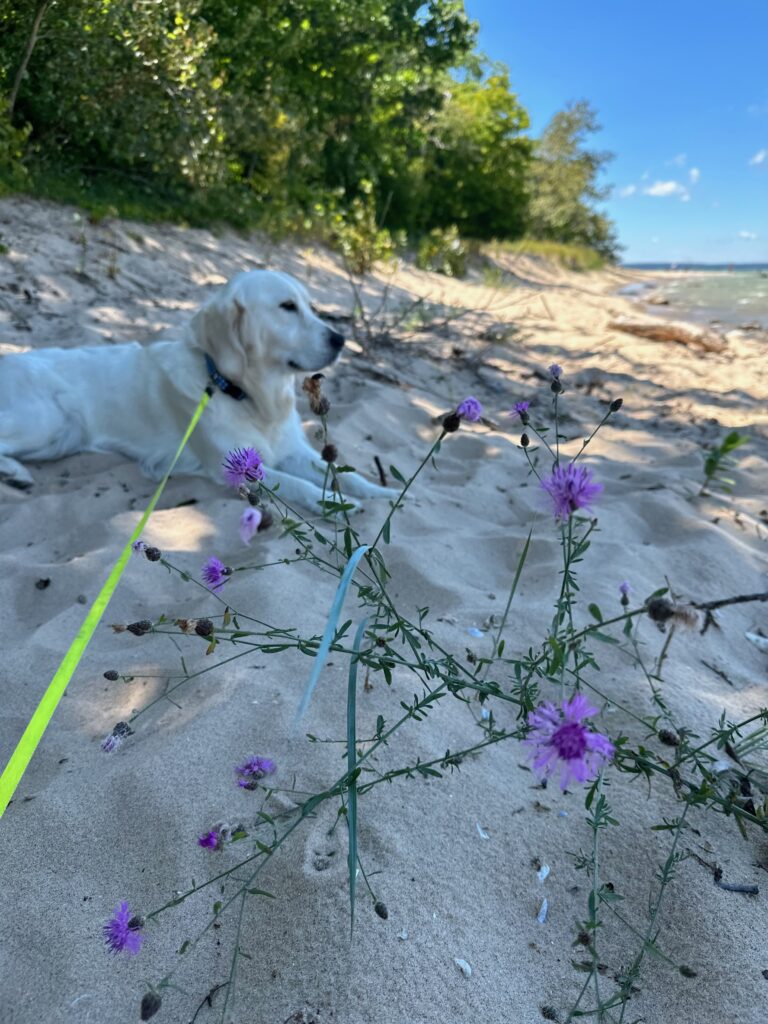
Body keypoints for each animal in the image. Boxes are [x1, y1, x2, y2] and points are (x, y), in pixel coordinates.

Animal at [0, 269, 396, 509]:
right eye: (287, 307)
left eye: (310, 307)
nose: (341, 340)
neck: (246, 394)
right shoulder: (231, 467)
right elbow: (298, 485)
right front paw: (336, 504)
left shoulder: (291, 449)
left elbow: (345, 473)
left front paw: (385, 493)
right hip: (52, 422)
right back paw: (14, 473)